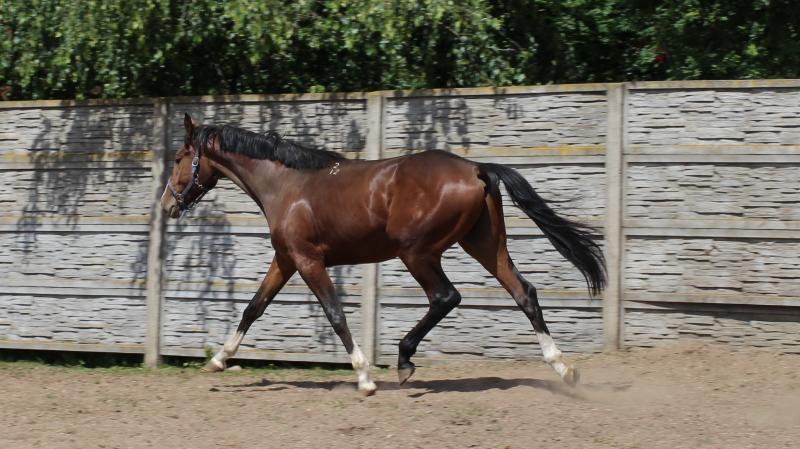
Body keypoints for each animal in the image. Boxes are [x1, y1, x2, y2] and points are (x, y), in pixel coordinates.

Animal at [161, 113, 606, 395]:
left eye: (180, 158)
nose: (168, 204)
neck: (287, 186)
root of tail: (476, 169)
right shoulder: (285, 260)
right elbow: (253, 307)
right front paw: (218, 360)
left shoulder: (308, 261)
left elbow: (335, 314)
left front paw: (364, 378)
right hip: (483, 245)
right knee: (524, 293)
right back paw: (564, 367)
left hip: (417, 252)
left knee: (446, 296)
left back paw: (404, 360)